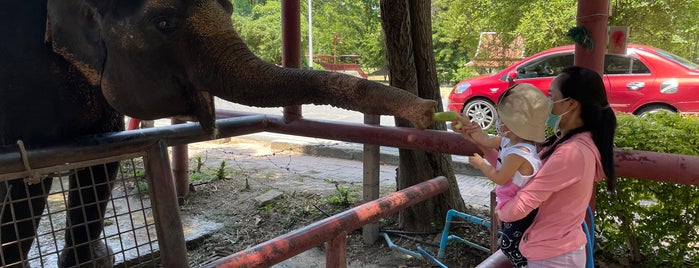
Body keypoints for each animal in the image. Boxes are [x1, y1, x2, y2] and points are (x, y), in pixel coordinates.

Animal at [1, 1, 438, 266]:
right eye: (163, 23)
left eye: (229, 8)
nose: (428, 110)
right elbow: (32, 171)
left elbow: (103, 152)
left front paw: (93, 260)